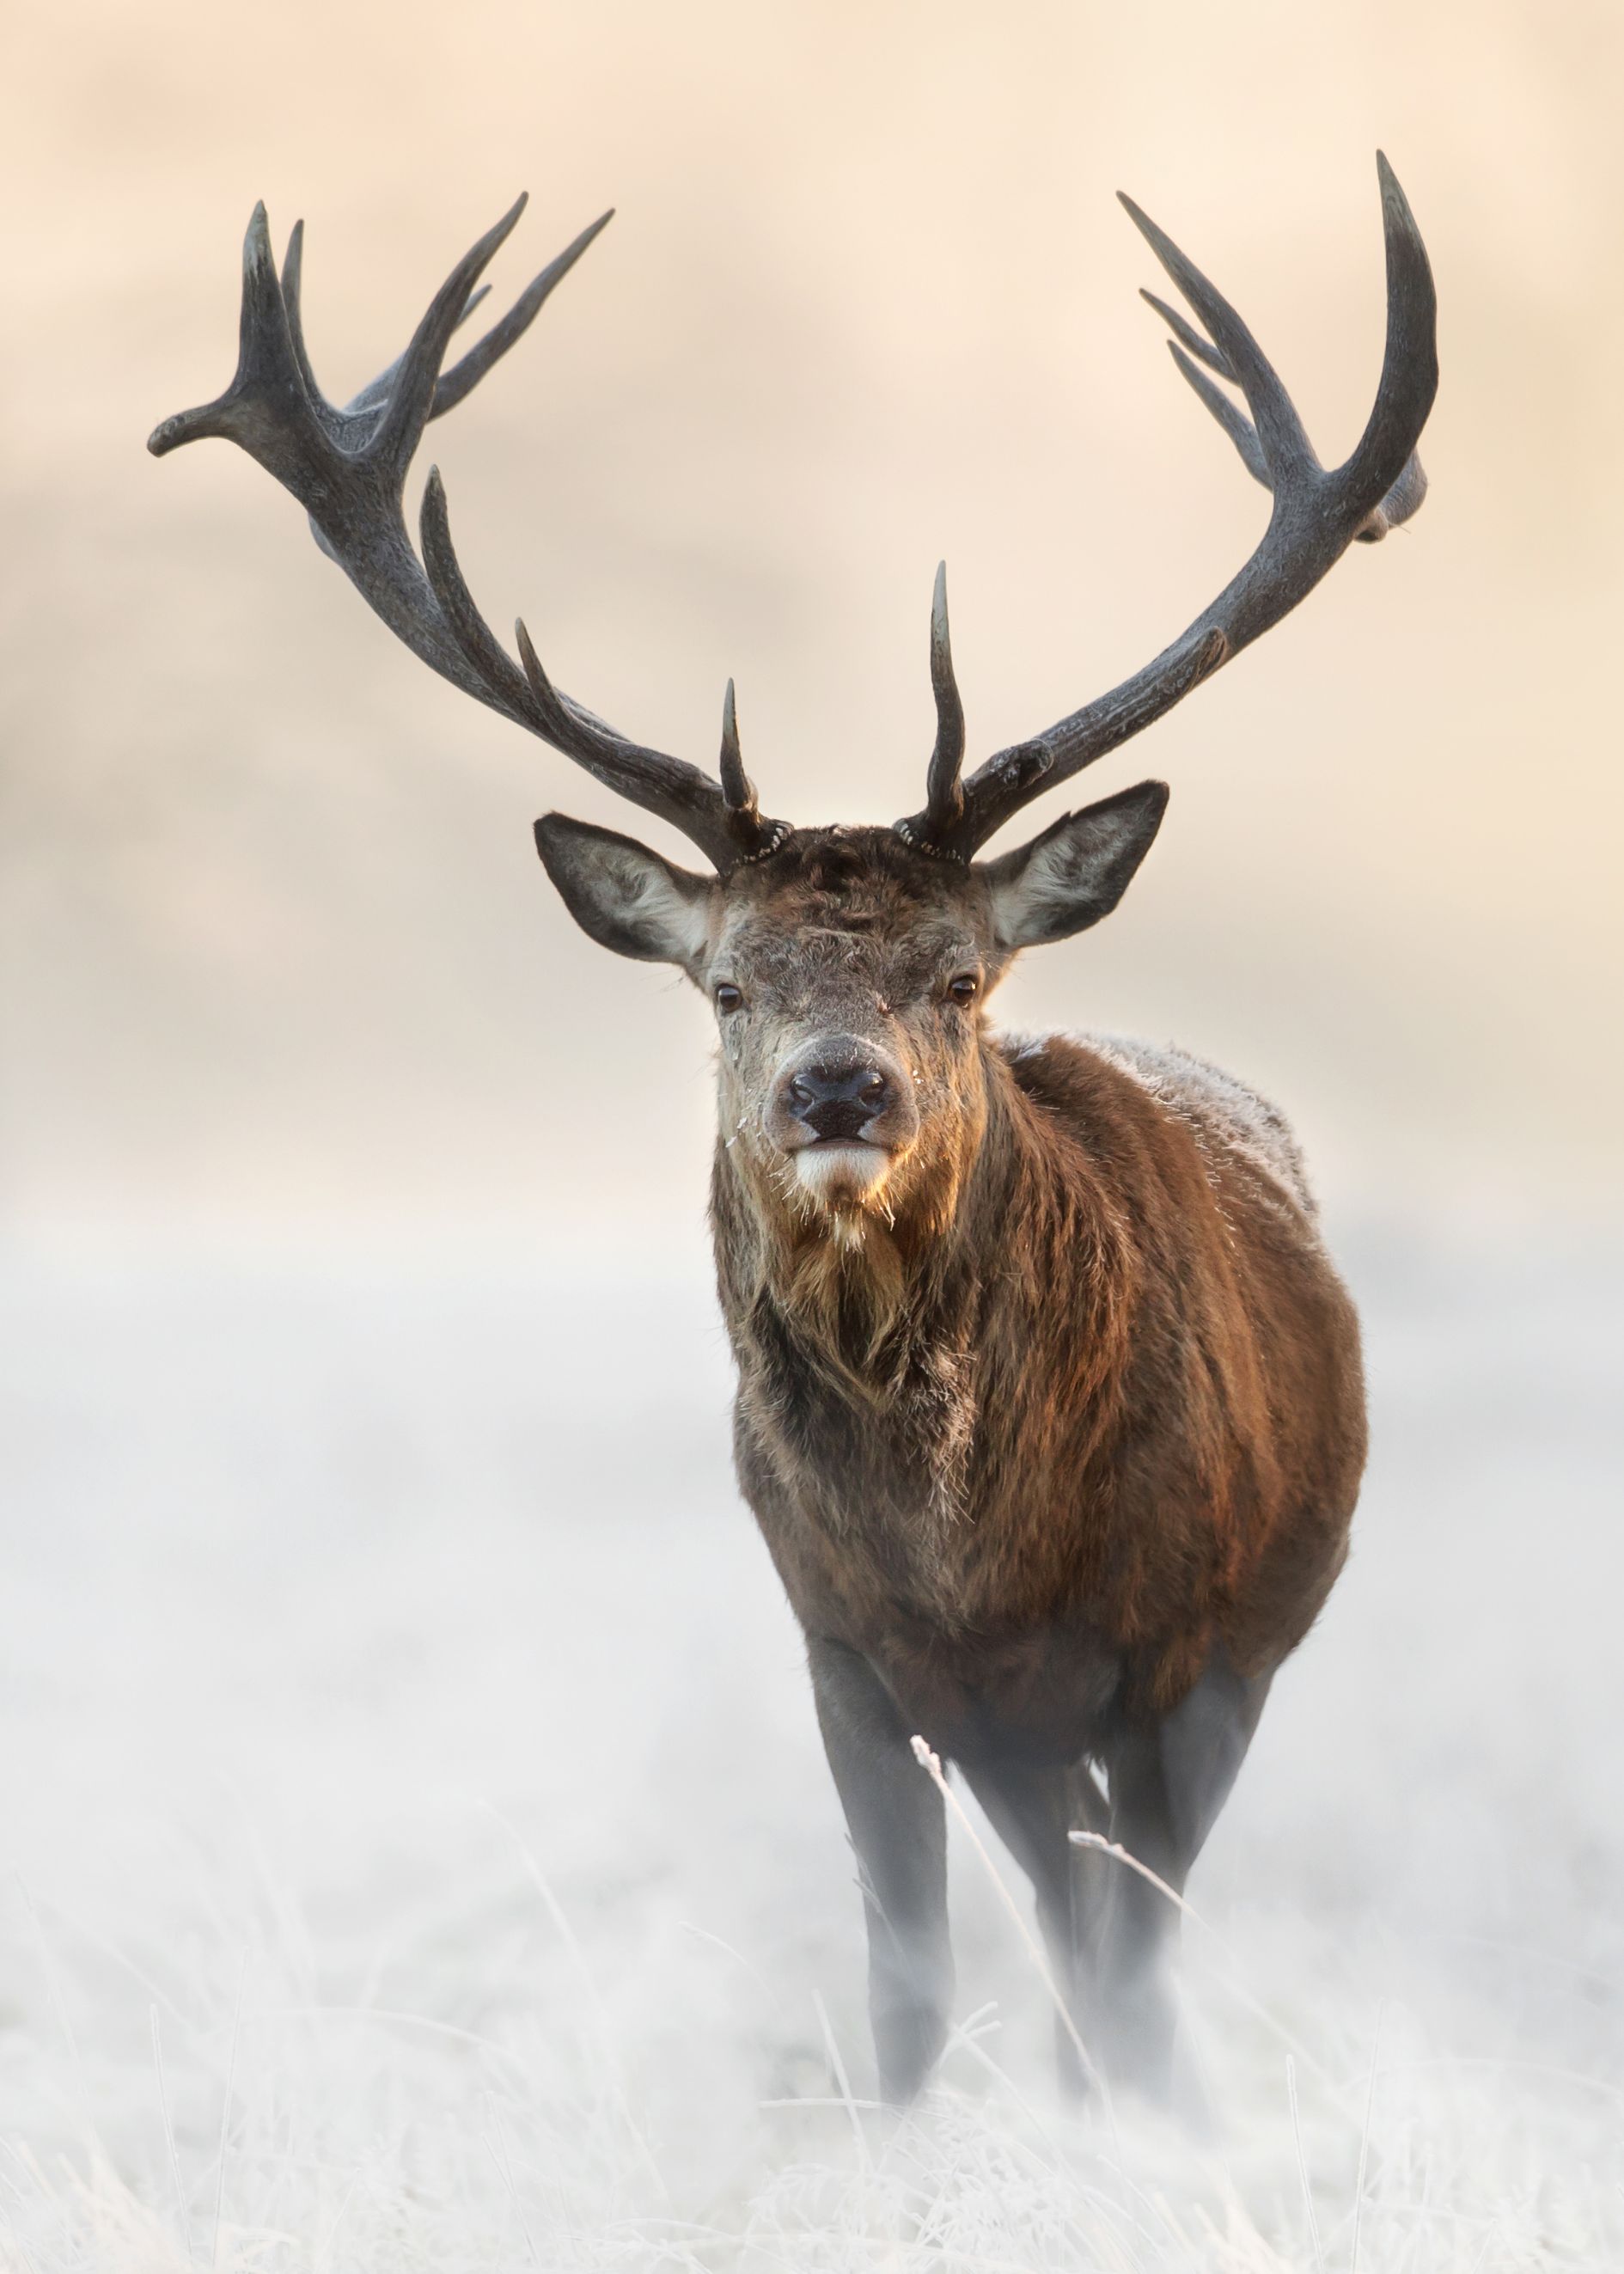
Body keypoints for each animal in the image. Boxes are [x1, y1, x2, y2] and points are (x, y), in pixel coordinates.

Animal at [149, 155, 1436, 2104]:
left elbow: (1134, 1972)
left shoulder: (1193, 1651)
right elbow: (911, 1973)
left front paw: (1147, 2124)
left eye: (963, 975)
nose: (841, 1087)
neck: (976, 1562)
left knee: (1111, 1930)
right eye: (728, 986)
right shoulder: (845, 1650)